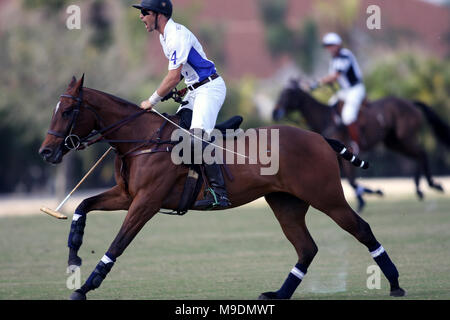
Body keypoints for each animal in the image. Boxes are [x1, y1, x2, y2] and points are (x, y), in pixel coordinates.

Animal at [38, 75, 406, 300]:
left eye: (68, 110)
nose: (46, 152)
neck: (142, 139)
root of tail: (319, 138)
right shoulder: (127, 196)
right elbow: (83, 206)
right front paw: (73, 255)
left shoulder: (146, 202)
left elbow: (118, 243)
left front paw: (86, 286)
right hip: (285, 202)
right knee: (306, 248)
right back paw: (278, 293)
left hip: (327, 196)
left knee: (362, 229)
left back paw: (395, 283)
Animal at [272, 79, 448, 210]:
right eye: (280, 92)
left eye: (288, 93)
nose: (274, 113)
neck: (325, 118)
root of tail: (411, 103)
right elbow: (351, 181)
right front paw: (368, 195)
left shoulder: (346, 151)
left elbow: (351, 180)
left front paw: (371, 194)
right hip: (393, 142)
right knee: (418, 154)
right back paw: (421, 188)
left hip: (405, 138)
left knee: (421, 152)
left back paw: (432, 185)